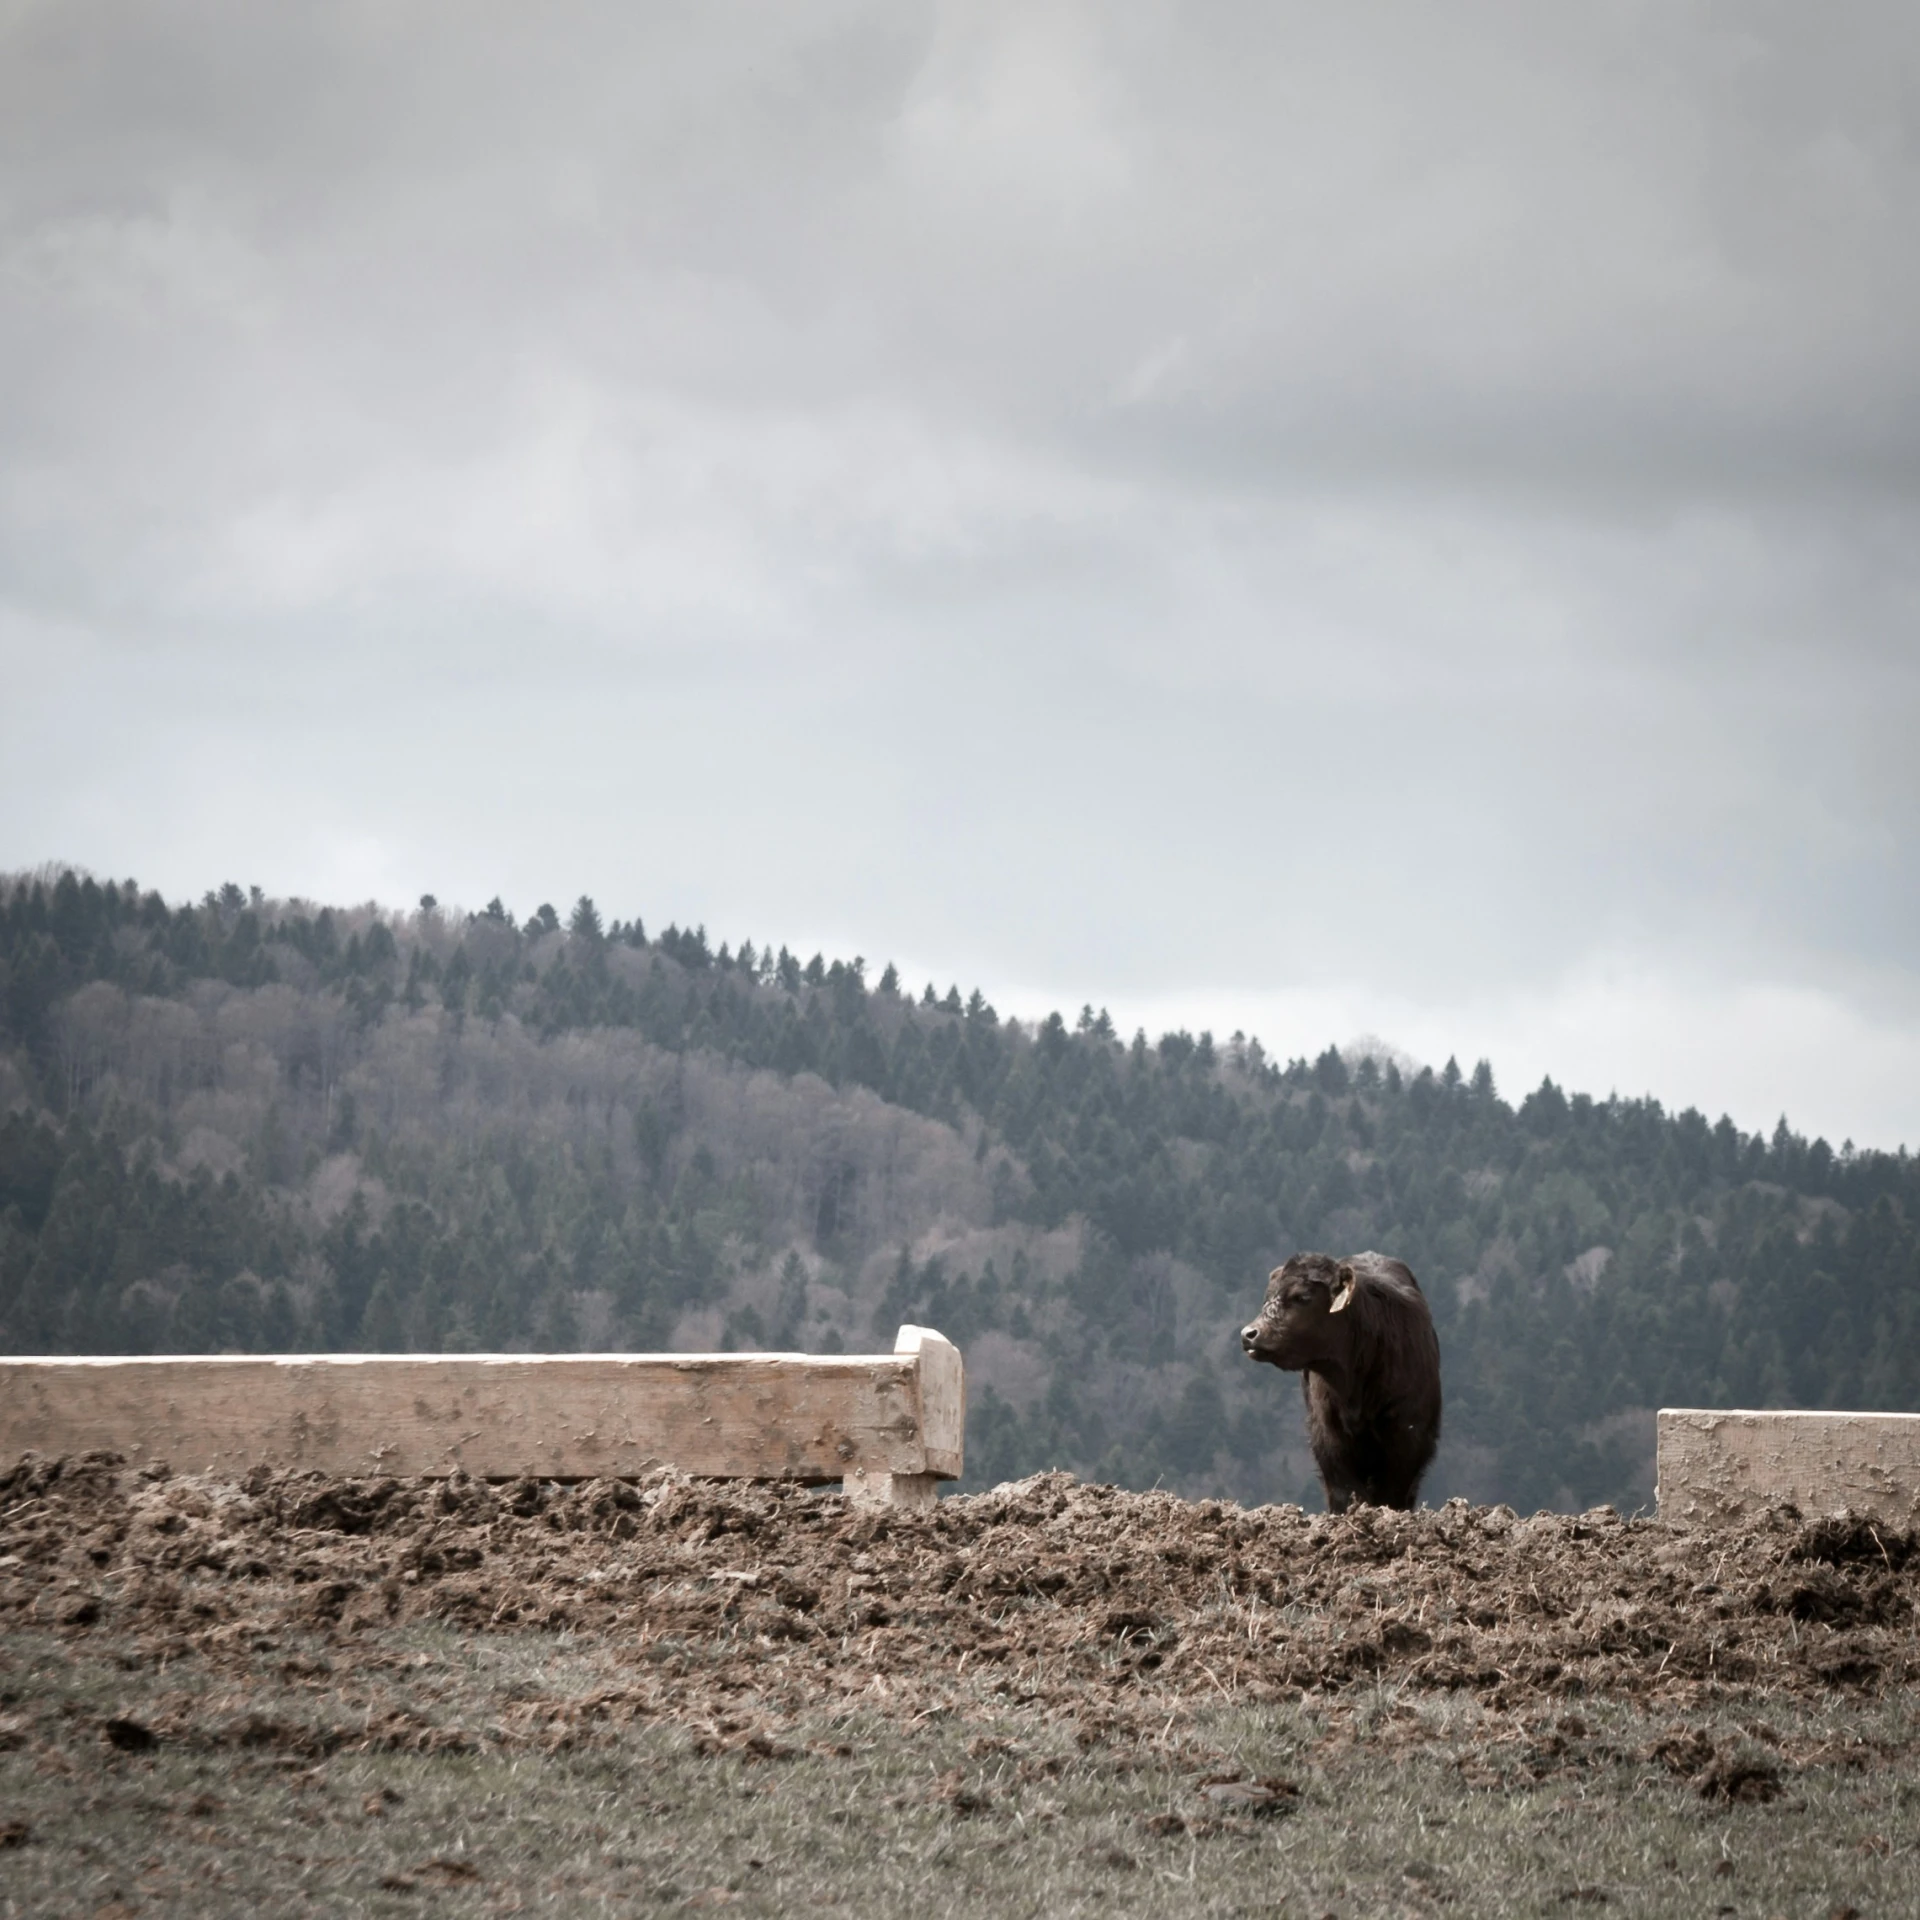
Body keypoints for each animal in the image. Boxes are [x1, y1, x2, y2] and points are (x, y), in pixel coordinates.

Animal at [1244, 1251, 1443, 1505]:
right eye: (1267, 1297)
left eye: (1302, 1296)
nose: (1249, 1334)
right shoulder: (1327, 1437)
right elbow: (1344, 1492)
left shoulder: (1409, 1435)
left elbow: (1391, 1494)